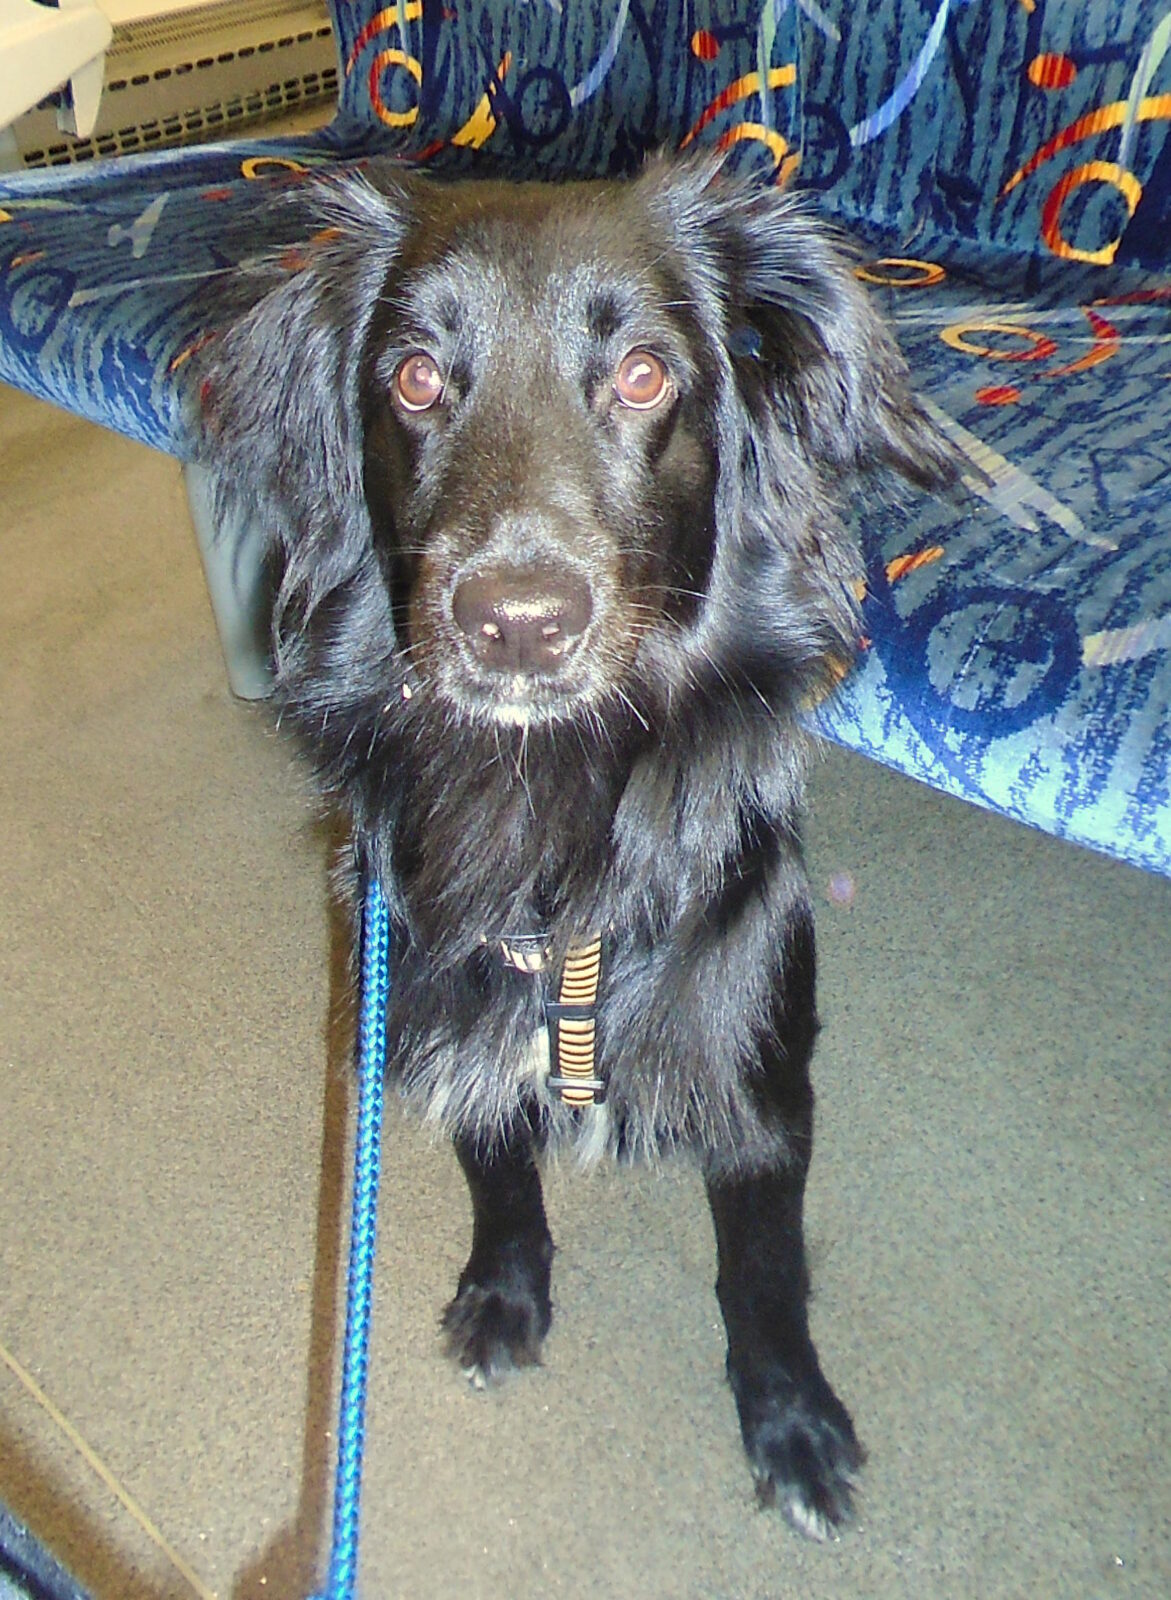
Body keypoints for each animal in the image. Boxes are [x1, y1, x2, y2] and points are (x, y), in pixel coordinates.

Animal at [198, 153, 958, 1540]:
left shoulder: (760, 1091)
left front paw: (791, 1426)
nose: (516, 622)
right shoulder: (446, 1010)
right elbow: (499, 1171)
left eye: (646, 374)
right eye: (414, 377)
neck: (541, 799)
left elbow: (761, 1274)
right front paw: (505, 1296)